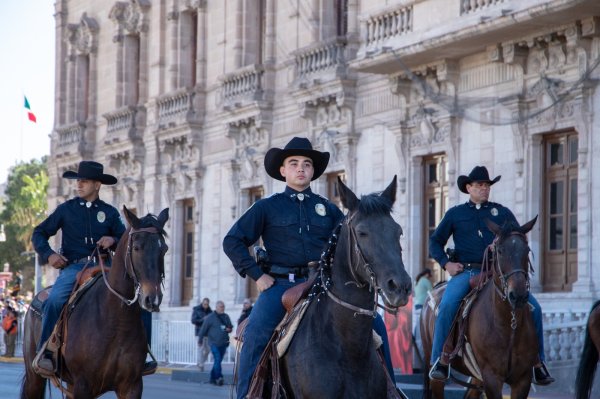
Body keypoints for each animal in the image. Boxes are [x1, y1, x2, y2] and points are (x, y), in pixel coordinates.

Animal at [20, 208, 169, 399]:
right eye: (136, 248)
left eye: (164, 249)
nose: (153, 298)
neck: (116, 319)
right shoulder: (83, 385)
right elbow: (41, 231)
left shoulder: (132, 386)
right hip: (35, 378)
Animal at [422, 217, 540, 399]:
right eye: (500, 251)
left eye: (526, 250)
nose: (518, 295)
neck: (508, 324)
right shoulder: (492, 377)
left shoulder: (522, 379)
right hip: (435, 372)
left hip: (477, 378)